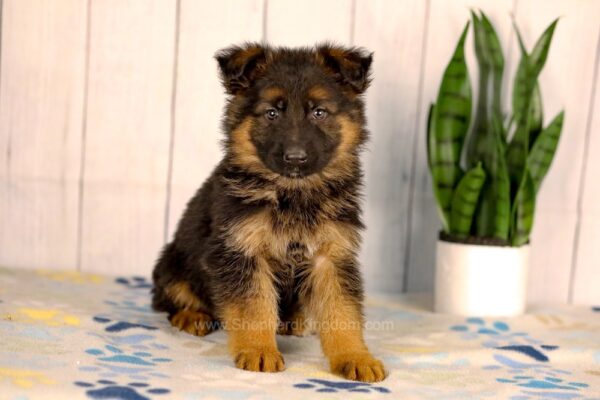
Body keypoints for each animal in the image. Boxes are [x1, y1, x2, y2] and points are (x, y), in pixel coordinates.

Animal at [150, 42, 384, 382]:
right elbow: (254, 308)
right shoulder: (241, 251)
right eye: (272, 113)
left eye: (319, 112)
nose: (295, 158)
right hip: (172, 263)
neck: (293, 195)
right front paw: (259, 351)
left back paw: (293, 320)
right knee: (169, 297)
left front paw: (355, 356)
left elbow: (342, 311)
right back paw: (192, 315)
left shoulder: (332, 257)